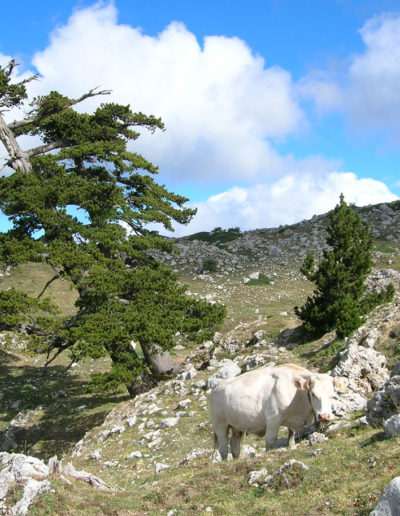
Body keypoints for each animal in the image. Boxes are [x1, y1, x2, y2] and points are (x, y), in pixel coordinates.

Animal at [209, 362, 344, 460]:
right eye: (313, 394)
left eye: (332, 395)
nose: (324, 416)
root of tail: (216, 386)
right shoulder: (273, 418)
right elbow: (270, 441)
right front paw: (270, 454)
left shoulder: (293, 420)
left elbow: (291, 436)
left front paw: (292, 448)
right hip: (220, 425)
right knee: (223, 447)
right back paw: (226, 461)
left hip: (237, 426)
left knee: (234, 443)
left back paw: (237, 459)